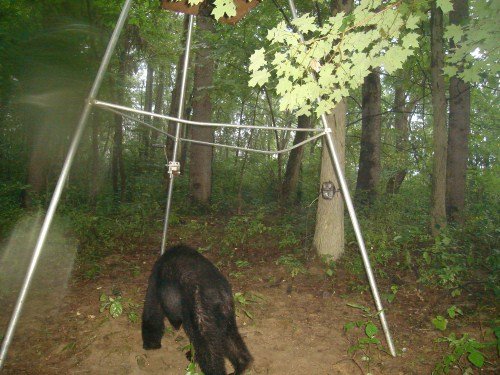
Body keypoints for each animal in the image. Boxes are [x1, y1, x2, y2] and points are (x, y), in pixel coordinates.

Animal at [142, 245, 252, 374]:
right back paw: (242, 365)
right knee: (229, 335)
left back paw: (211, 367)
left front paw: (151, 343)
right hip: (226, 312)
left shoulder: (157, 283)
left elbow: (153, 311)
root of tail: (219, 293)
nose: (176, 326)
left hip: (200, 309)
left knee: (205, 342)